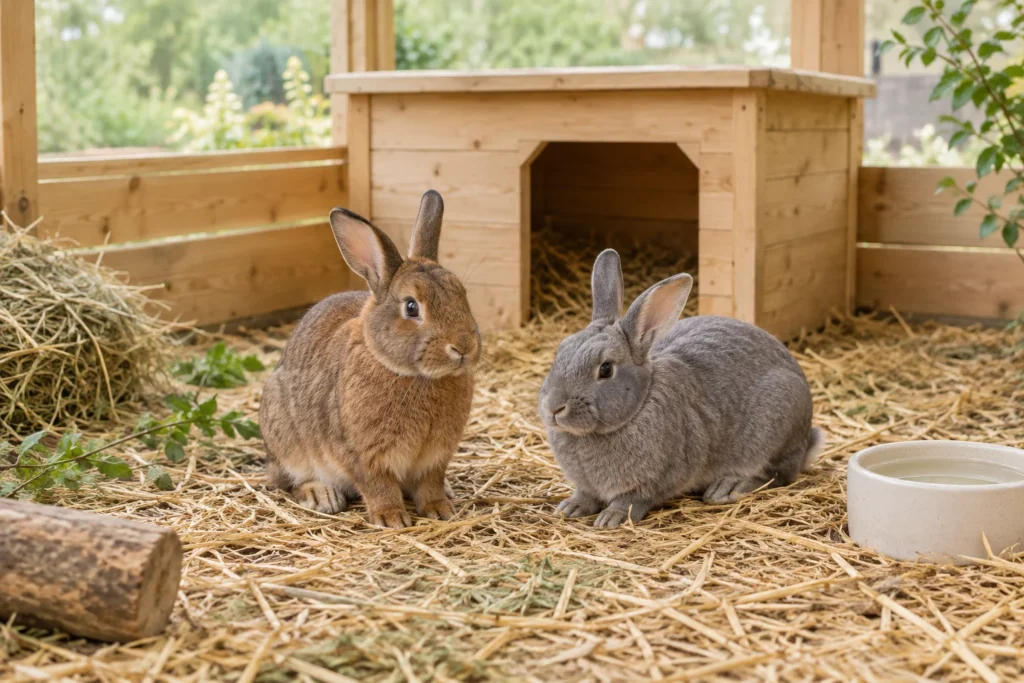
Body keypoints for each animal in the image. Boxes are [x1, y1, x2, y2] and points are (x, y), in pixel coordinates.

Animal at [259, 190, 481, 529]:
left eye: (462, 294)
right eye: (412, 307)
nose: (464, 347)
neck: (413, 375)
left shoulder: (435, 457)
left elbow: (430, 482)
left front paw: (440, 509)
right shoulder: (362, 455)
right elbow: (378, 486)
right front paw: (391, 518)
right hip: (287, 444)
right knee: (288, 482)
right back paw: (322, 496)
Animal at [538, 248, 823, 529]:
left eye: (606, 369)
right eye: (559, 352)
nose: (554, 408)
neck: (639, 405)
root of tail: (806, 437)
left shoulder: (660, 476)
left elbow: (633, 499)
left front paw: (612, 518)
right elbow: (585, 494)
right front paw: (569, 508)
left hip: (778, 420)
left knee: (776, 475)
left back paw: (728, 487)